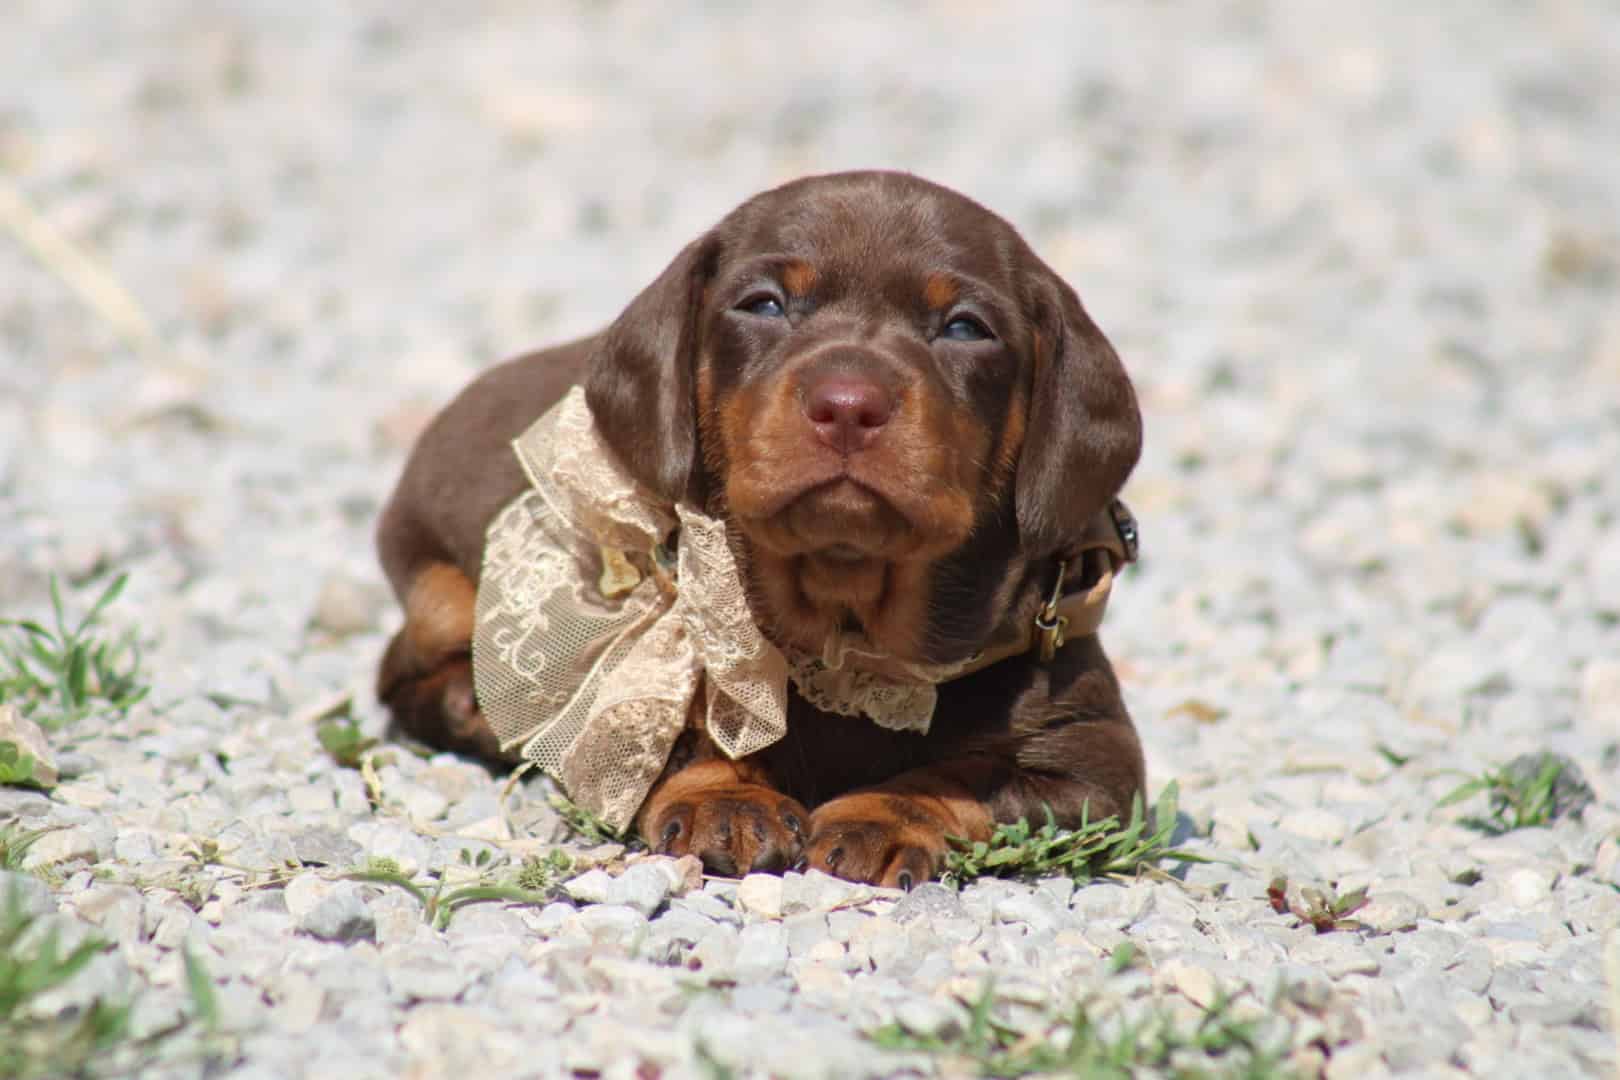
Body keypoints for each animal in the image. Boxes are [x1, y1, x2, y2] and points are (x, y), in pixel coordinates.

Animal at [374, 169, 1146, 887]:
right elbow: (675, 727)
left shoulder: (1092, 758)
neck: (845, 629)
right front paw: (727, 797)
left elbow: (963, 776)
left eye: (964, 327)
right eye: (765, 305)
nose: (847, 405)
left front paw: (882, 816)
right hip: (445, 586)